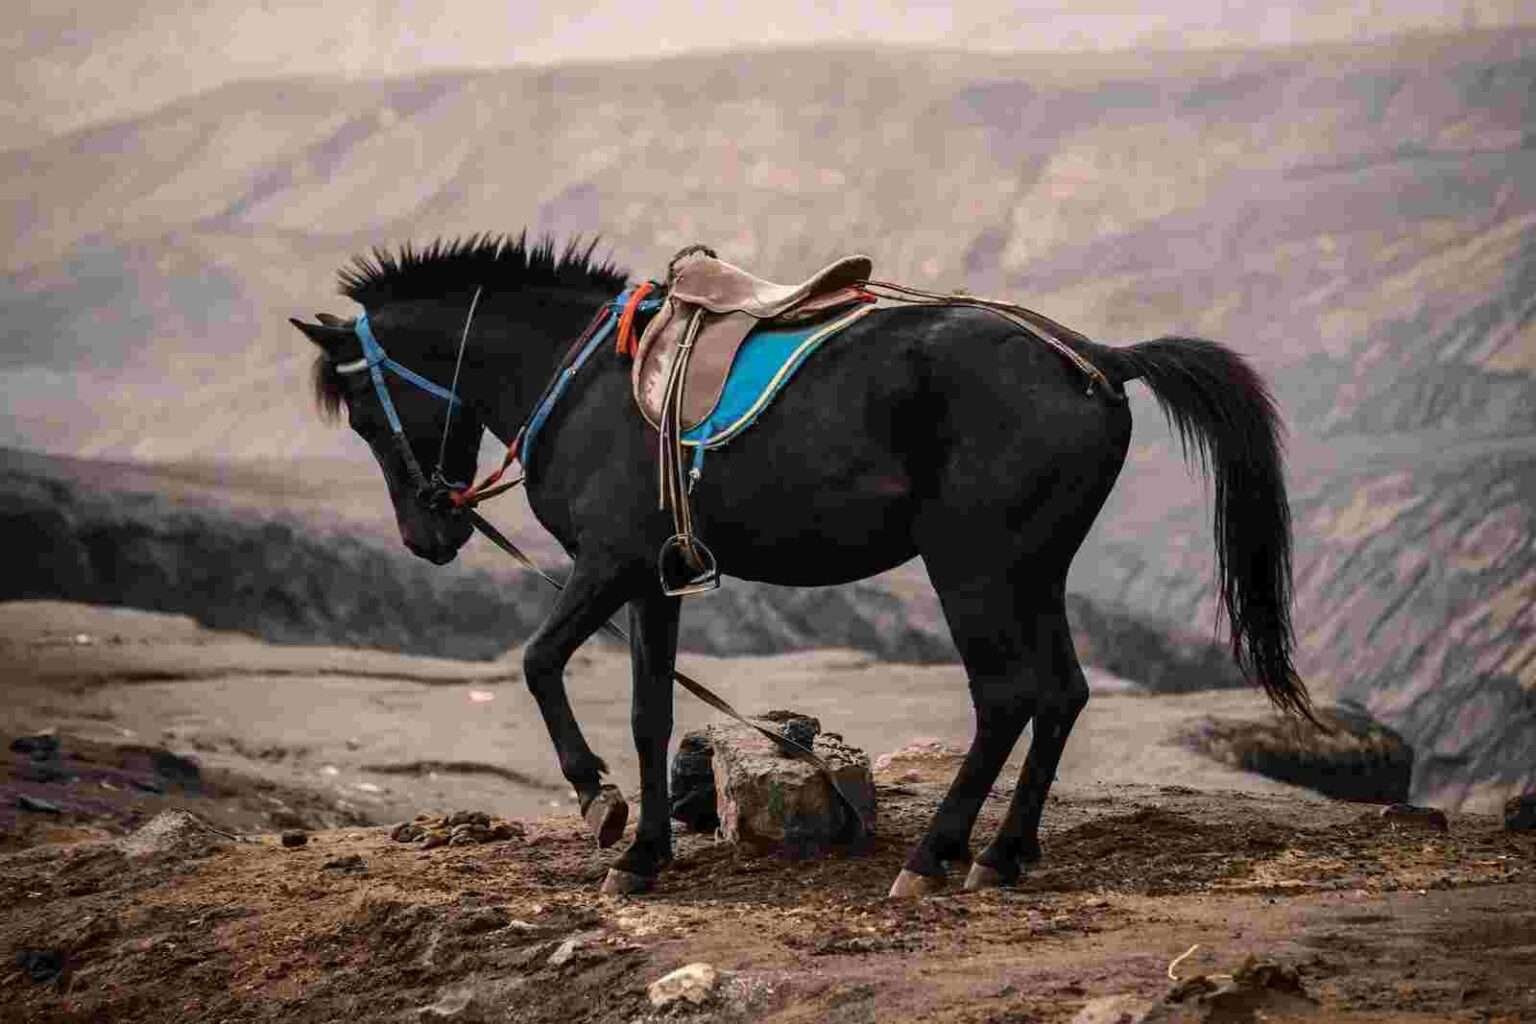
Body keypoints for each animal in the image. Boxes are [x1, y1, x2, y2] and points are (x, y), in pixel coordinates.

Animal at [290, 234, 1308, 896]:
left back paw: (932, 857)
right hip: (1034, 570)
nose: (428, 536)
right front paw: (645, 856)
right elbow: (651, 714)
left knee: (1007, 697)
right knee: (1060, 694)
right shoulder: (655, 580)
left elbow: (541, 663)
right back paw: (1003, 854)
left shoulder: (608, 564)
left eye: (367, 414)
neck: (579, 379)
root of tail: (1095, 358)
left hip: (972, 568)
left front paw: (598, 805)